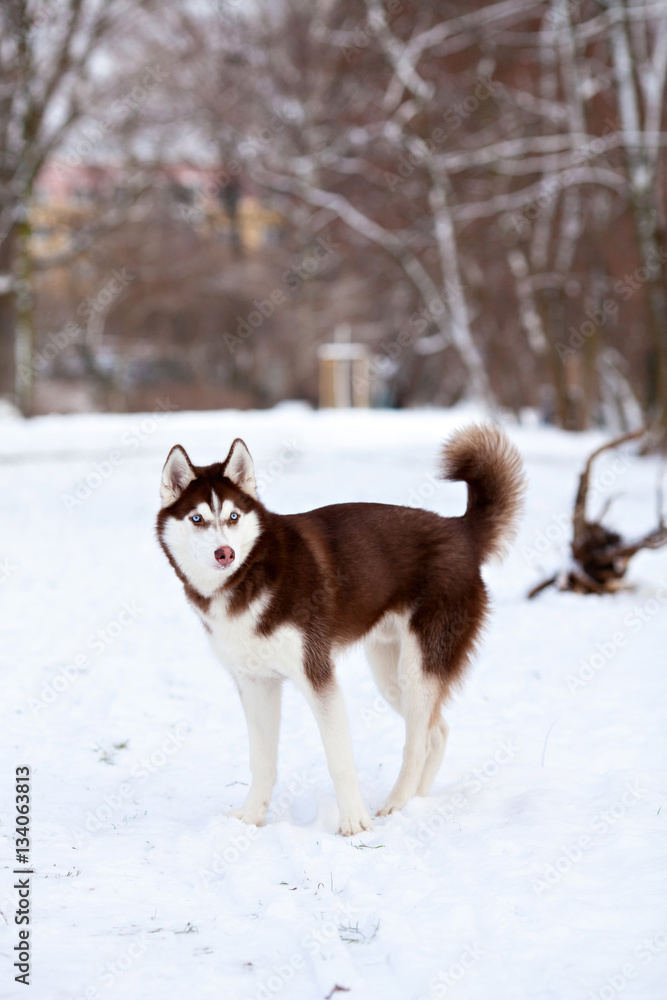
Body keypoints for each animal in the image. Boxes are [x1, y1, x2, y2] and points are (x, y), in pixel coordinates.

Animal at [158, 422, 528, 836]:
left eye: (234, 516)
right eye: (197, 519)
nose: (226, 553)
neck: (248, 577)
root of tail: (459, 529)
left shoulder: (317, 674)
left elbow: (339, 760)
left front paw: (354, 823)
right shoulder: (255, 683)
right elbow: (262, 761)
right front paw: (252, 818)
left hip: (418, 669)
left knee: (416, 743)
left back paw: (396, 804)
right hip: (391, 677)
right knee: (437, 731)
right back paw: (416, 802)